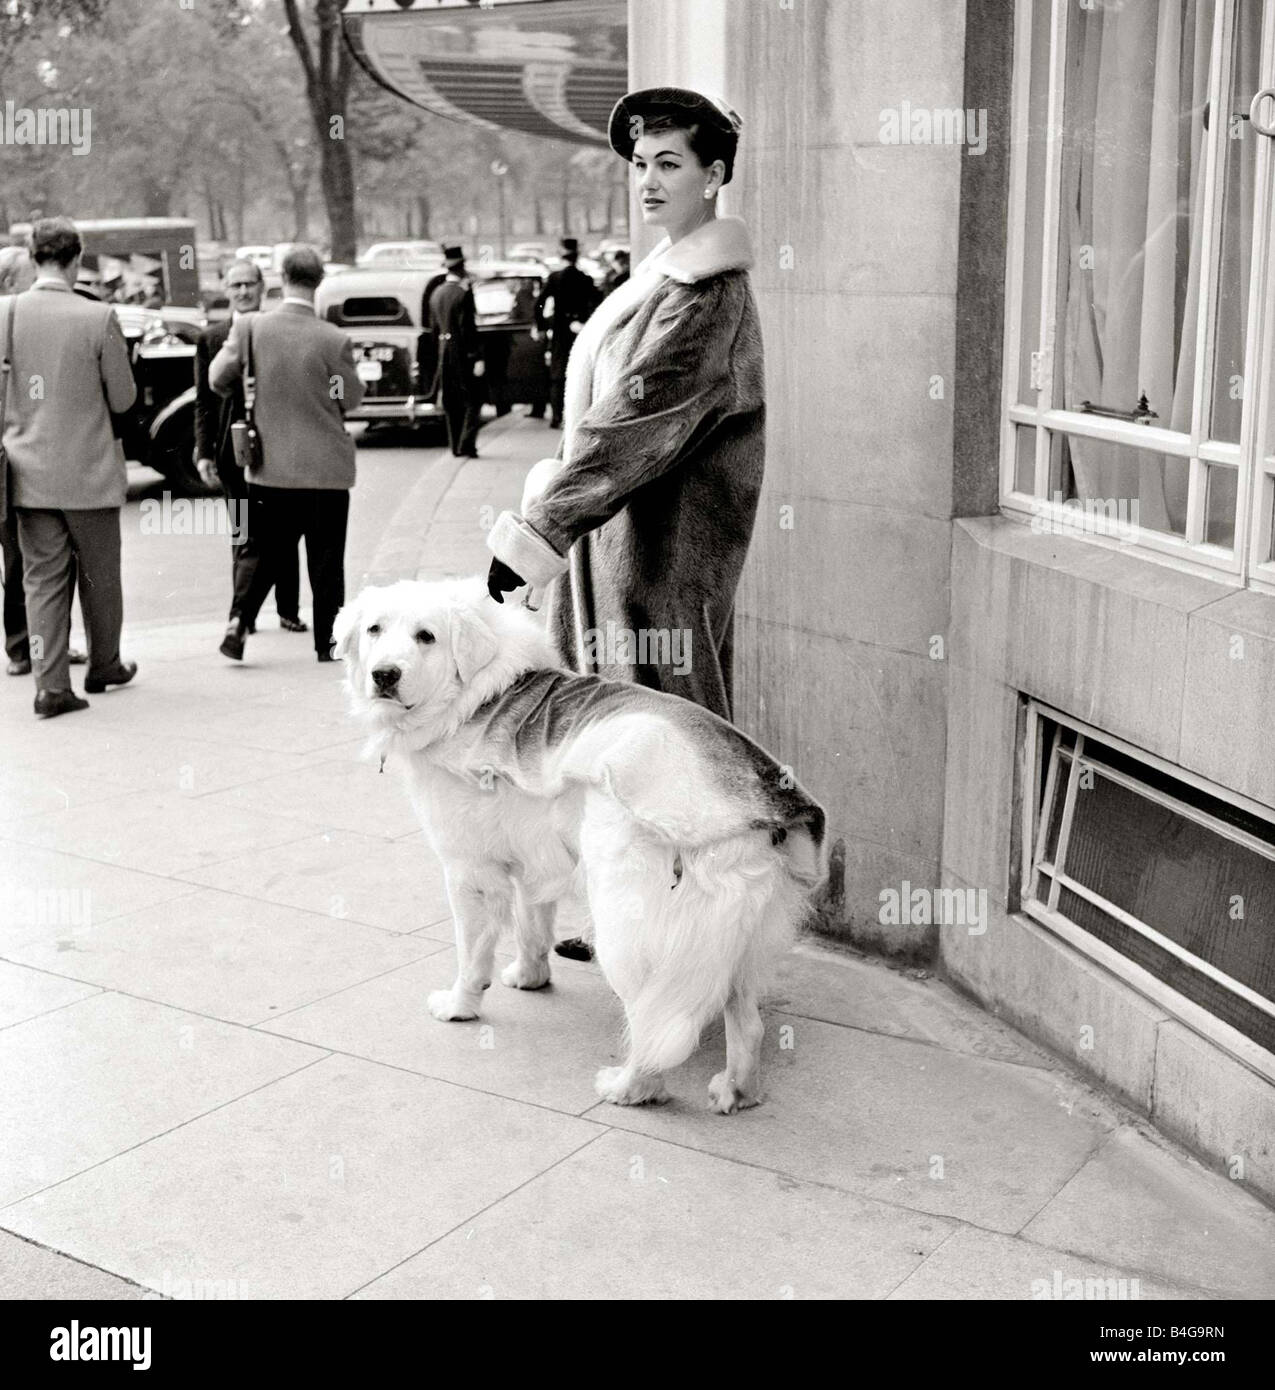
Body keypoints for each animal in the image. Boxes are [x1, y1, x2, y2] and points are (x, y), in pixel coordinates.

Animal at [330, 581, 823, 1112]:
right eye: (375, 629)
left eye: (427, 636)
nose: (384, 675)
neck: (474, 698)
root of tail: (747, 803)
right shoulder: (533, 860)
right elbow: (531, 926)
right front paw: (530, 977)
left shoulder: (470, 872)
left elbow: (472, 953)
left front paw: (460, 1006)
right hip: (732, 942)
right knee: (747, 1024)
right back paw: (737, 1090)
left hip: (626, 924)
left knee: (650, 1025)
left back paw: (630, 1088)